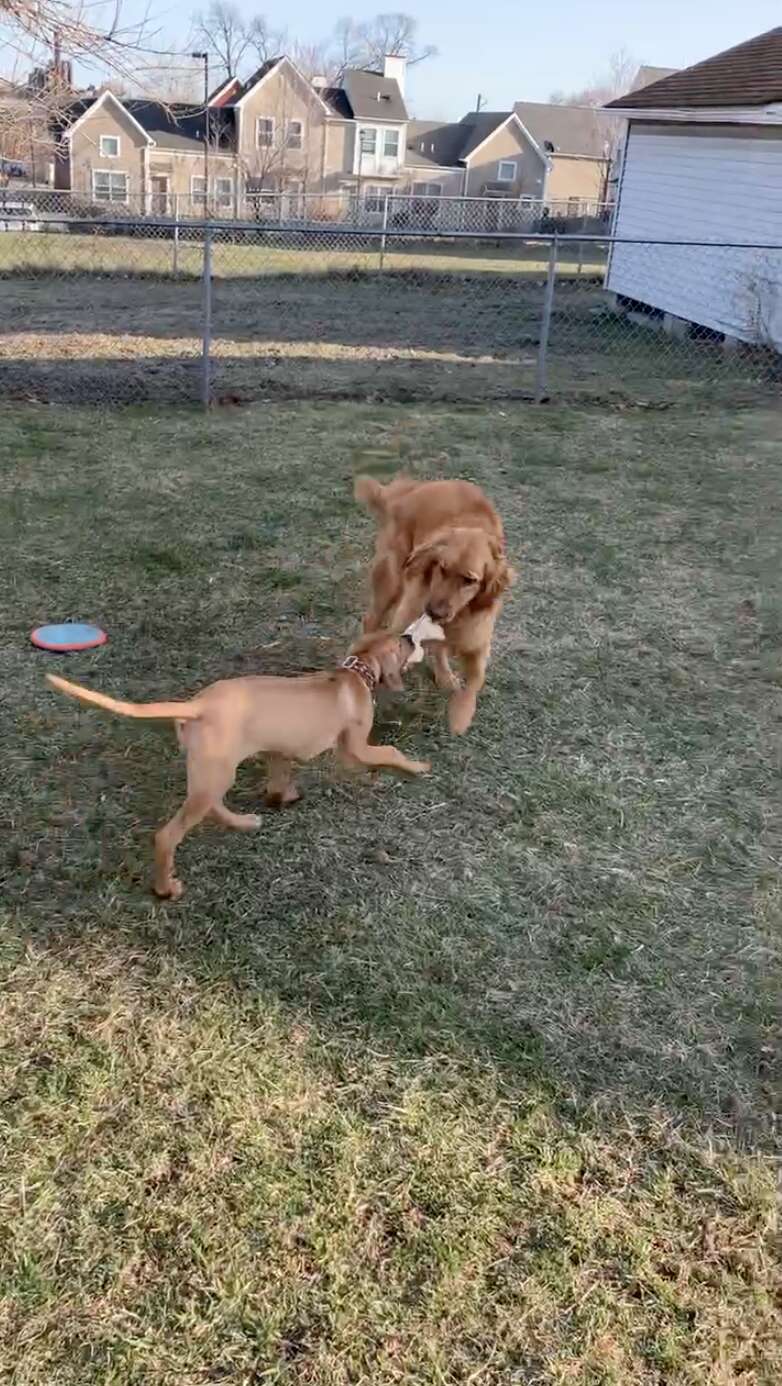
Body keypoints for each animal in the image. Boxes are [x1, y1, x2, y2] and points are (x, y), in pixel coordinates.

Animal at [46, 634, 429, 903]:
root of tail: (197, 705)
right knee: (168, 836)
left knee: (213, 806)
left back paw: (244, 822)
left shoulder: (277, 748)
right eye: (399, 641)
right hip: (216, 773)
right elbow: (391, 751)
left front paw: (282, 797)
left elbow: (279, 776)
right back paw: (166, 889)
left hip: (212, 771)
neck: (354, 672)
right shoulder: (356, 749)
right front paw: (417, 767)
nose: (412, 637)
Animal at [352, 476, 513, 737]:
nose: (433, 612)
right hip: (391, 580)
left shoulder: (477, 640)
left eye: (469, 580)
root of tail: (411, 490)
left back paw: (445, 675)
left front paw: (460, 715)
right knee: (372, 620)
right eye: (442, 568)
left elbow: (475, 681)